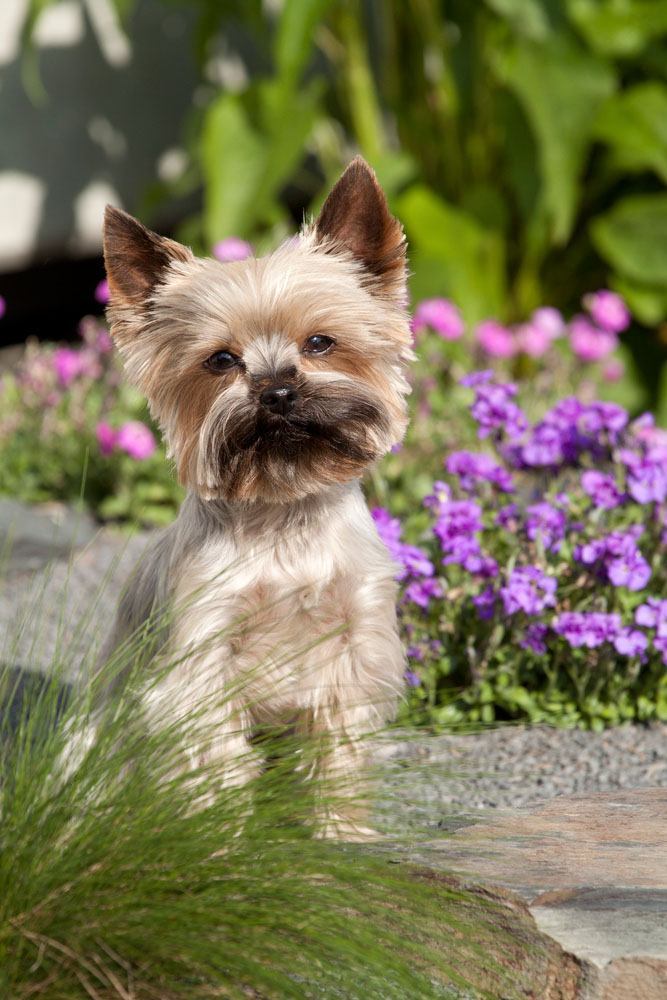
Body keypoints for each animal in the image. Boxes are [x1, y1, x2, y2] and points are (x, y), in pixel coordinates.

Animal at [98, 160, 412, 840]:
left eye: (320, 343)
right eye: (221, 360)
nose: (278, 391)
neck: (283, 510)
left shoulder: (352, 649)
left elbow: (336, 756)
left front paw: (340, 835)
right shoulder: (198, 667)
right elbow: (215, 764)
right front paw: (223, 848)